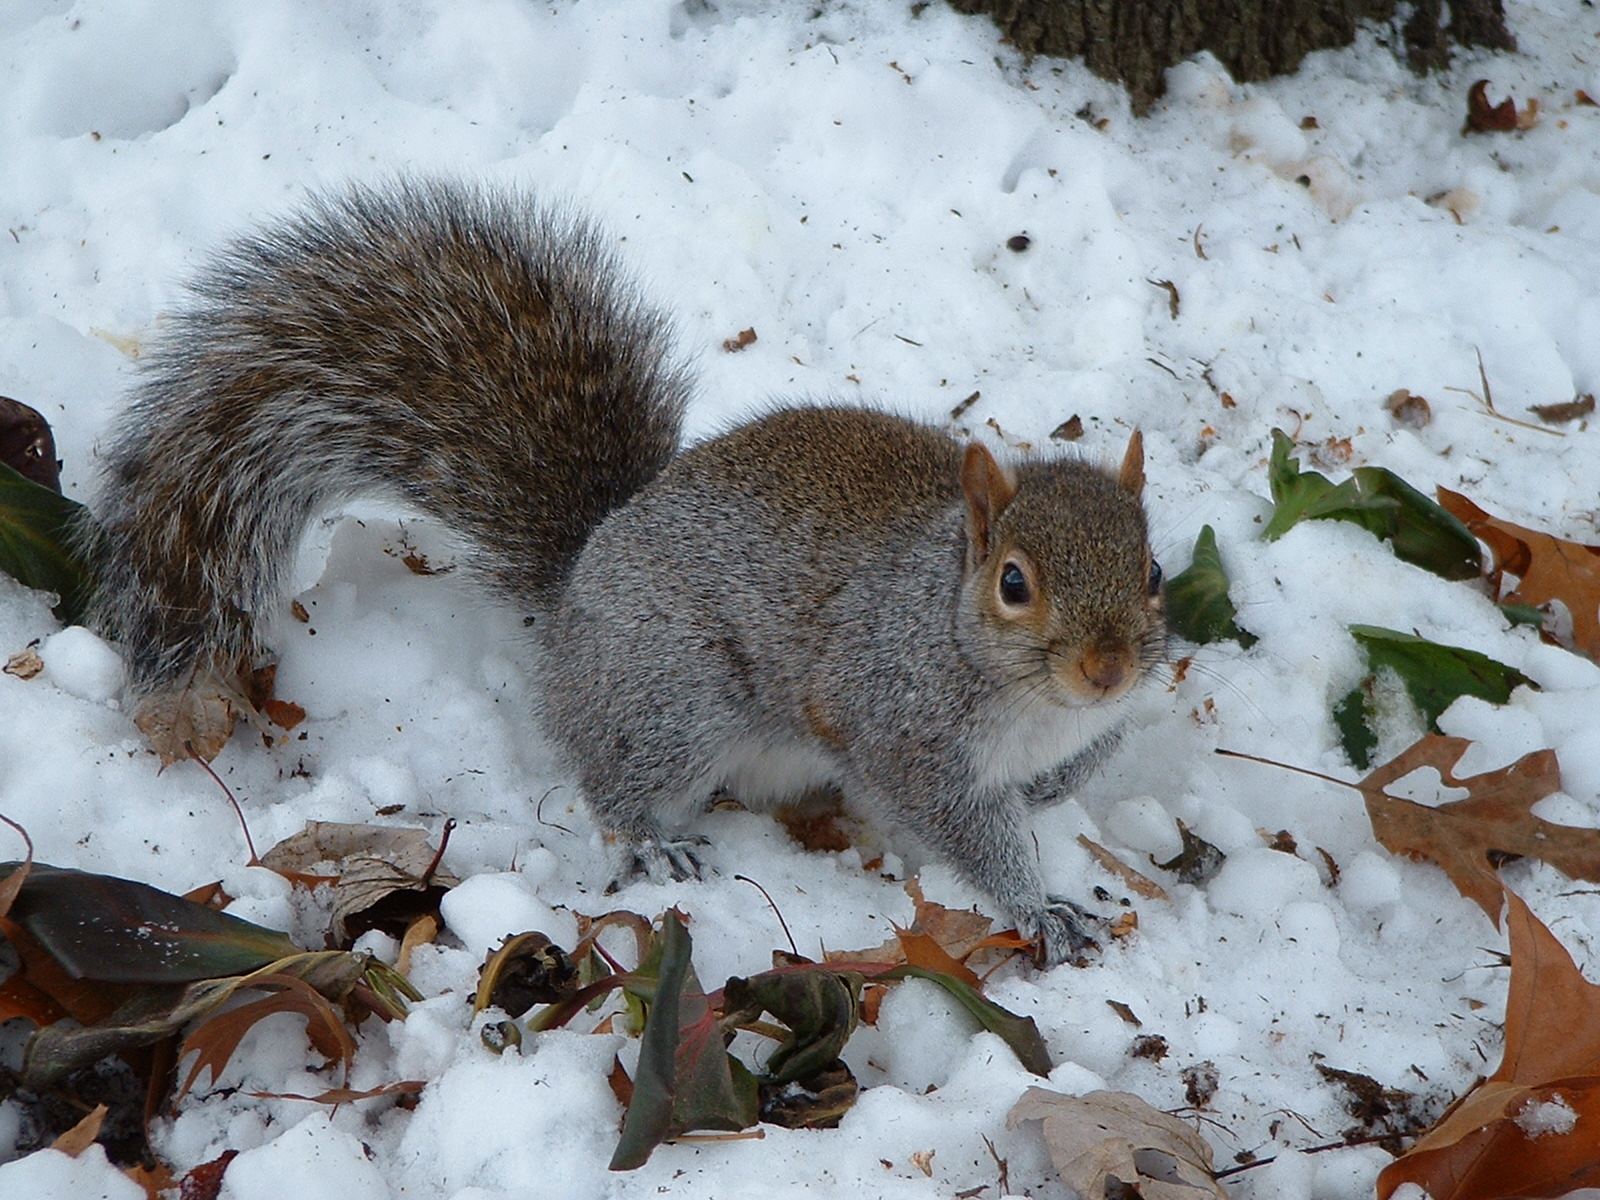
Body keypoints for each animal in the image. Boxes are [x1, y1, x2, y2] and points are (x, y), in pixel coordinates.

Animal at [81, 180, 1171, 966]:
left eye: (1155, 569)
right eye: (1014, 583)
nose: (1108, 671)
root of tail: (578, 586)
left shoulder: (1097, 727)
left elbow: (1072, 771)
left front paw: (1049, 803)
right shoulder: (901, 720)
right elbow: (960, 823)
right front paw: (1037, 903)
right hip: (677, 693)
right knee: (615, 776)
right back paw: (652, 837)